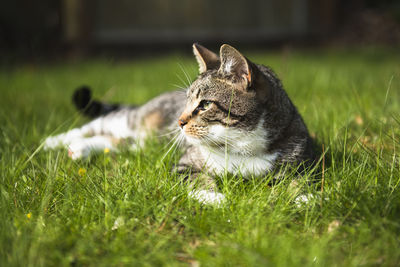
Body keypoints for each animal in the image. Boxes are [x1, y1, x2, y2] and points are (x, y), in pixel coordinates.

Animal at [44, 44, 316, 205]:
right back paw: (54, 142)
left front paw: (305, 197)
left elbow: (301, 179)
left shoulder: (302, 159)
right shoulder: (185, 165)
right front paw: (213, 196)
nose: (180, 121)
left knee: (116, 142)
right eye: (187, 101)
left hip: (141, 144)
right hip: (135, 120)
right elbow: (197, 178)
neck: (242, 148)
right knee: (99, 125)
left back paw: (79, 149)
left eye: (205, 104)